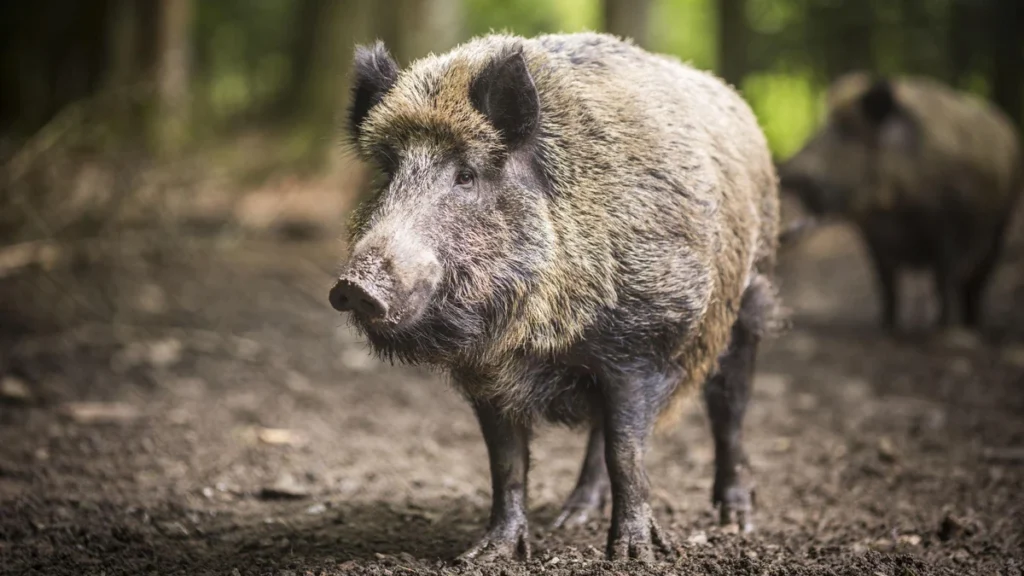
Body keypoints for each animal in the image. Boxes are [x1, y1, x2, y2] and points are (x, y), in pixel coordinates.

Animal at [329, 32, 781, 562]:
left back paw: (737, 520)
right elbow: (506, 462)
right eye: (389, 172)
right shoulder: (489, 374)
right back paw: (573, 517)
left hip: (751, 299)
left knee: (730, 408)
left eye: (467, 175)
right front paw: (485, 555)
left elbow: (627, 451)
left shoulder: (643, 343)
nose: (354, 286)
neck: (543, 336)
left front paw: (633, 556)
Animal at [778, 72, 1023, 332]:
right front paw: (886, 326)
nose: (783, 168)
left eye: (848, 132)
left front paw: (941, 328)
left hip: (1003, 220)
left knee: (978, 280)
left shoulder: (948, 227)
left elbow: (942, 280)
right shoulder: (873, 237)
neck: (893, 206)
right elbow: (886, 284)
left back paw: (971, 324)